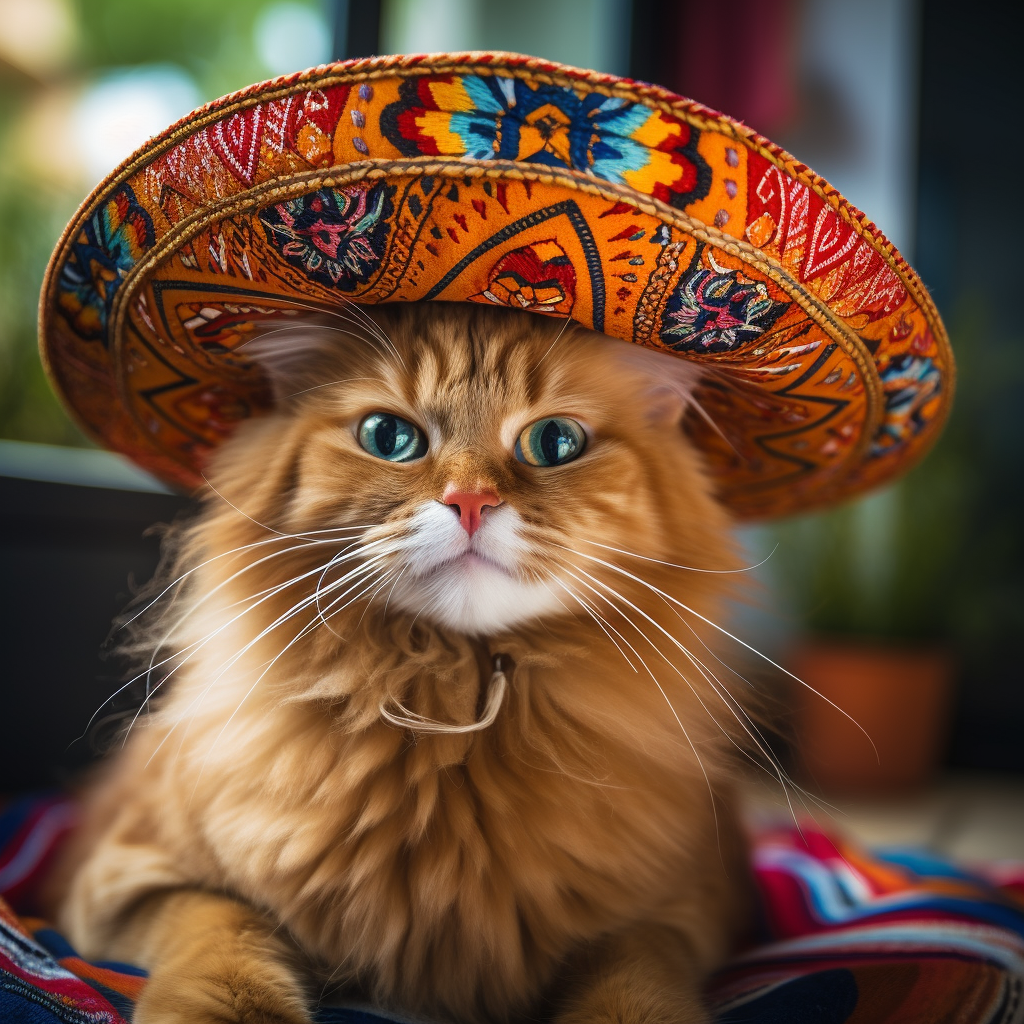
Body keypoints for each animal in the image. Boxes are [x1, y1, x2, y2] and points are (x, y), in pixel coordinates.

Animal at [51, 303, 757, 1024]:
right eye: (388, 437)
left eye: (556, 442)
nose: (471, 501)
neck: (452, 714)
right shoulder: (130, 880)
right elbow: (223, 940)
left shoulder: (683, 911)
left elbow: (632, 987)